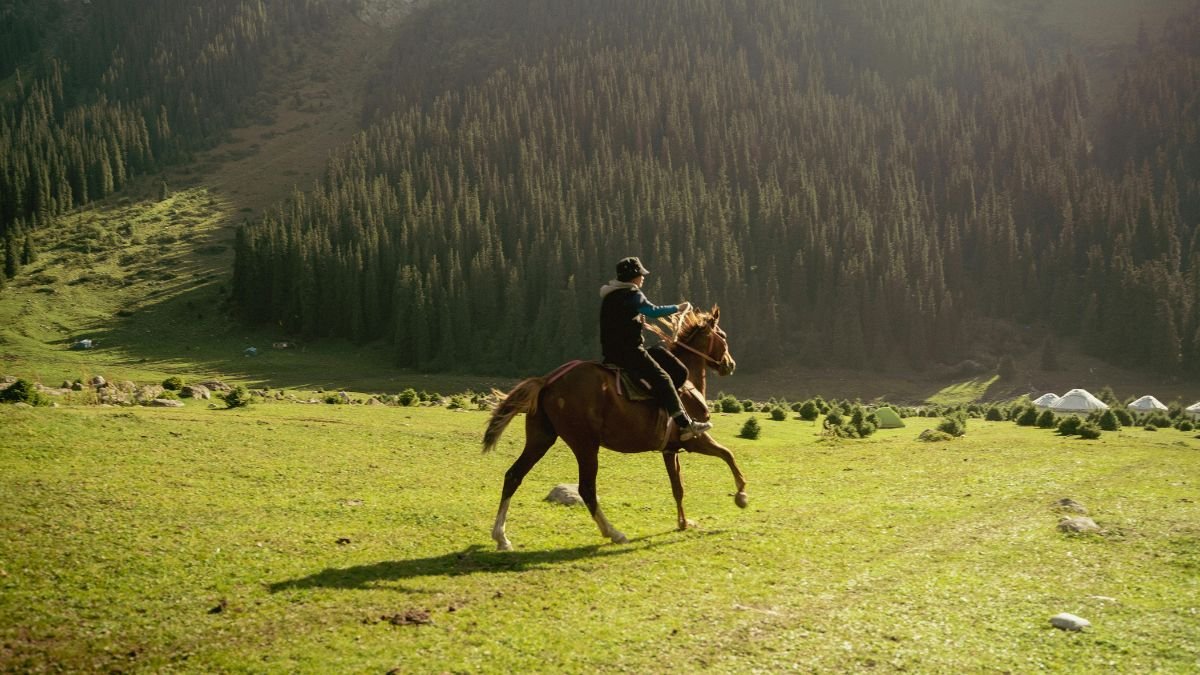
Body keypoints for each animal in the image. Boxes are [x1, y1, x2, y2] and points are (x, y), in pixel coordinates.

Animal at [482, 306, 748, 551]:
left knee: (513, 476)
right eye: (723, 335)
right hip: (585, 445)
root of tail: (547, 381)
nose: (730, 364)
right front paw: (741, 495)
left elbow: (678, 487)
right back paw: (614, 533)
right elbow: (728, 455)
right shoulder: (695, 439)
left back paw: (501, 537)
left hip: (541, 439)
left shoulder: (670, 450)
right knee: (587, 489)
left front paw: (683, 522)